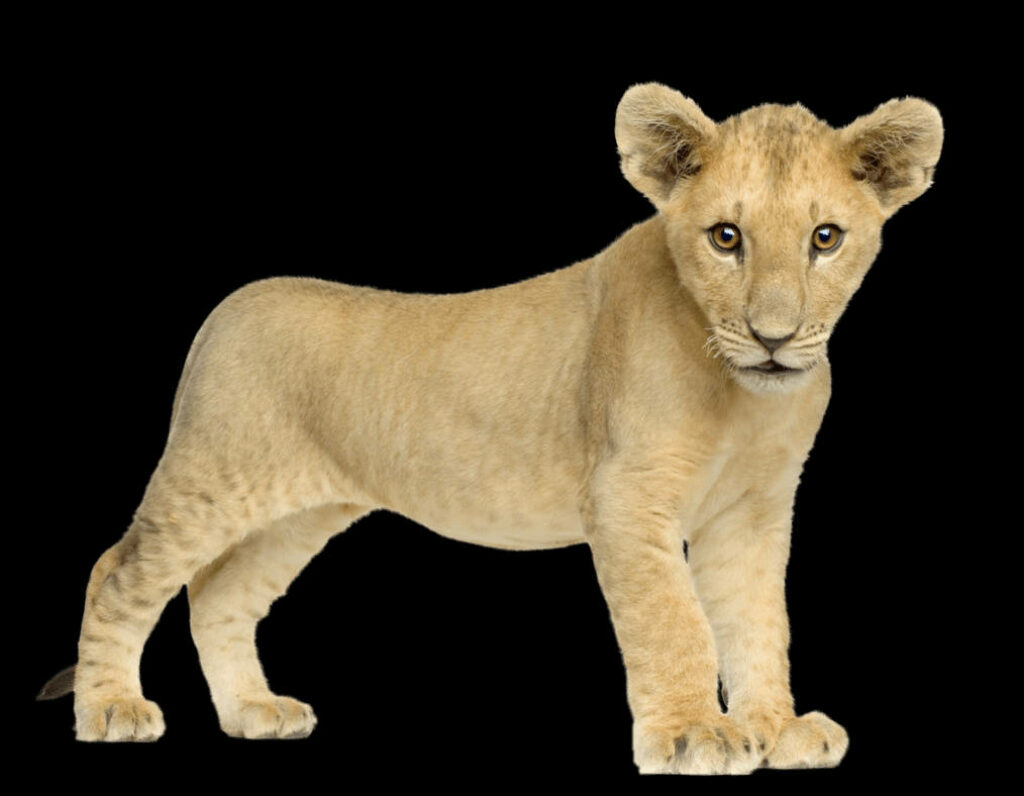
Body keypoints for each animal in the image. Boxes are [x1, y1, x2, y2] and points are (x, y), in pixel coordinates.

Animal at [38, 83, 942, 774]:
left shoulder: (751, 514)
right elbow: (674, 621)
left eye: (825, 238)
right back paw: (111, 710)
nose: (774, 337)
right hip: (213, 476)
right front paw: (695, 734)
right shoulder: (627, 497)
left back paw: (253, 711)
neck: (742, 395)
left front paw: (775, 729)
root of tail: (226, 307)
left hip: (299, 515)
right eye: (726, 237)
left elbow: (758, 622)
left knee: (217, 594)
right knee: (117, 571)